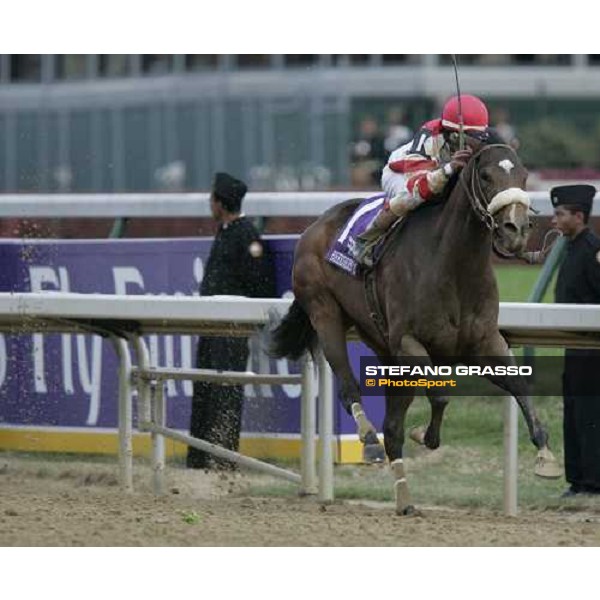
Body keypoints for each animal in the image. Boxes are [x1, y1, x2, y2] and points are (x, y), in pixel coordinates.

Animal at [270, 142, 560, 516]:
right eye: (485, 175)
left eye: (523, 175)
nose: (516, 230)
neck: (454, 265)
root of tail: (314, 226)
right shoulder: (409, 342)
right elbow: (440, 394)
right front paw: (424, 435)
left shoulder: (485, 341)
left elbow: (520, 386)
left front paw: (546, 456)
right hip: (325, 313)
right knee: (349, 390)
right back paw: (368, 438)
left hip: (383, 347)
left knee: (392, 428)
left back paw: (405, 499)